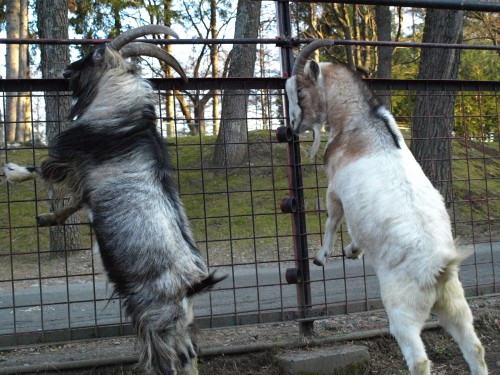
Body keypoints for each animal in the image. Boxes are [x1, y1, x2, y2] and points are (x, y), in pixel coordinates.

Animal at [3, 25, 223, 375]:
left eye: (94, 54)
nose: (66, 71)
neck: (123, 114)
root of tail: (190, 286)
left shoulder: (73, 160)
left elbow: (41, 169)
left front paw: (10, 172)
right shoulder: (86, 182)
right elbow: (76, 201)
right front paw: (47, 218)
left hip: (151, 315)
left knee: (164, 357)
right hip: (179, 324)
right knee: (189, 355)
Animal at [286, 40, 488, 375]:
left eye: (300, 91)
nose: (292, 127)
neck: (360, 121)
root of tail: (438, 269)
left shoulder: (335, 189)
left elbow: (333, 219)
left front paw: (321, 257)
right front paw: (353, 250)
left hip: (402, 308)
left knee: (419, 359)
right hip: (455, 304)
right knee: (474, 346)